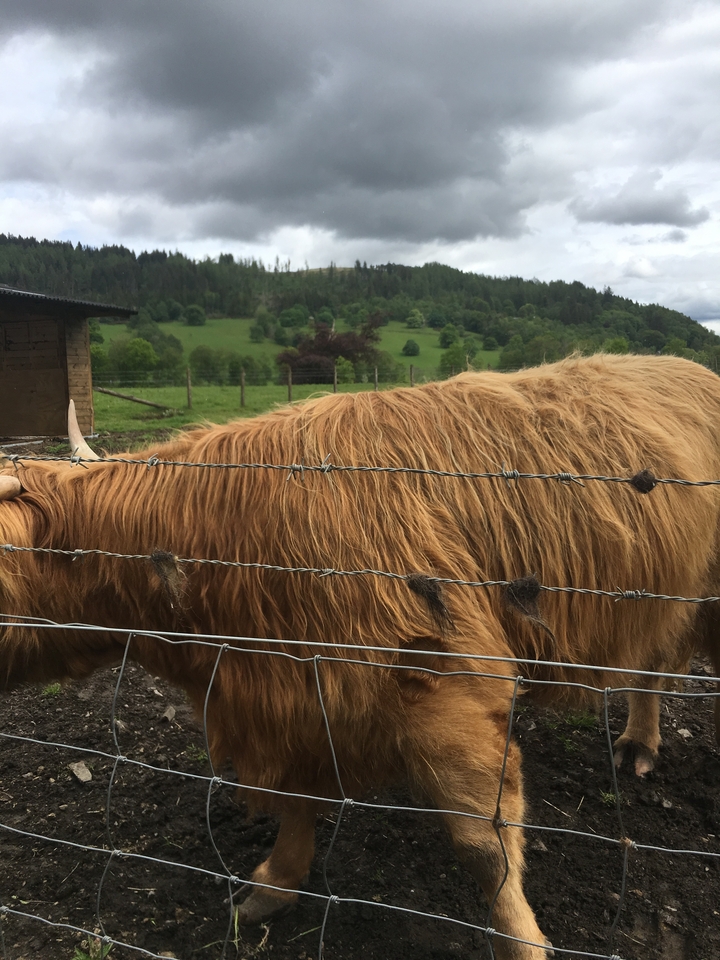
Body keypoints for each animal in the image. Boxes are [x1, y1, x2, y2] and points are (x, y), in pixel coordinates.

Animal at [2, 353, 720, 960]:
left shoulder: (449, 682)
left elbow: (484, 843)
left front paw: (524, 944)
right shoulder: (293, 704)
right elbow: (295, 804)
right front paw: (270, 888)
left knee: (658, 663)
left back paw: (640, 745)